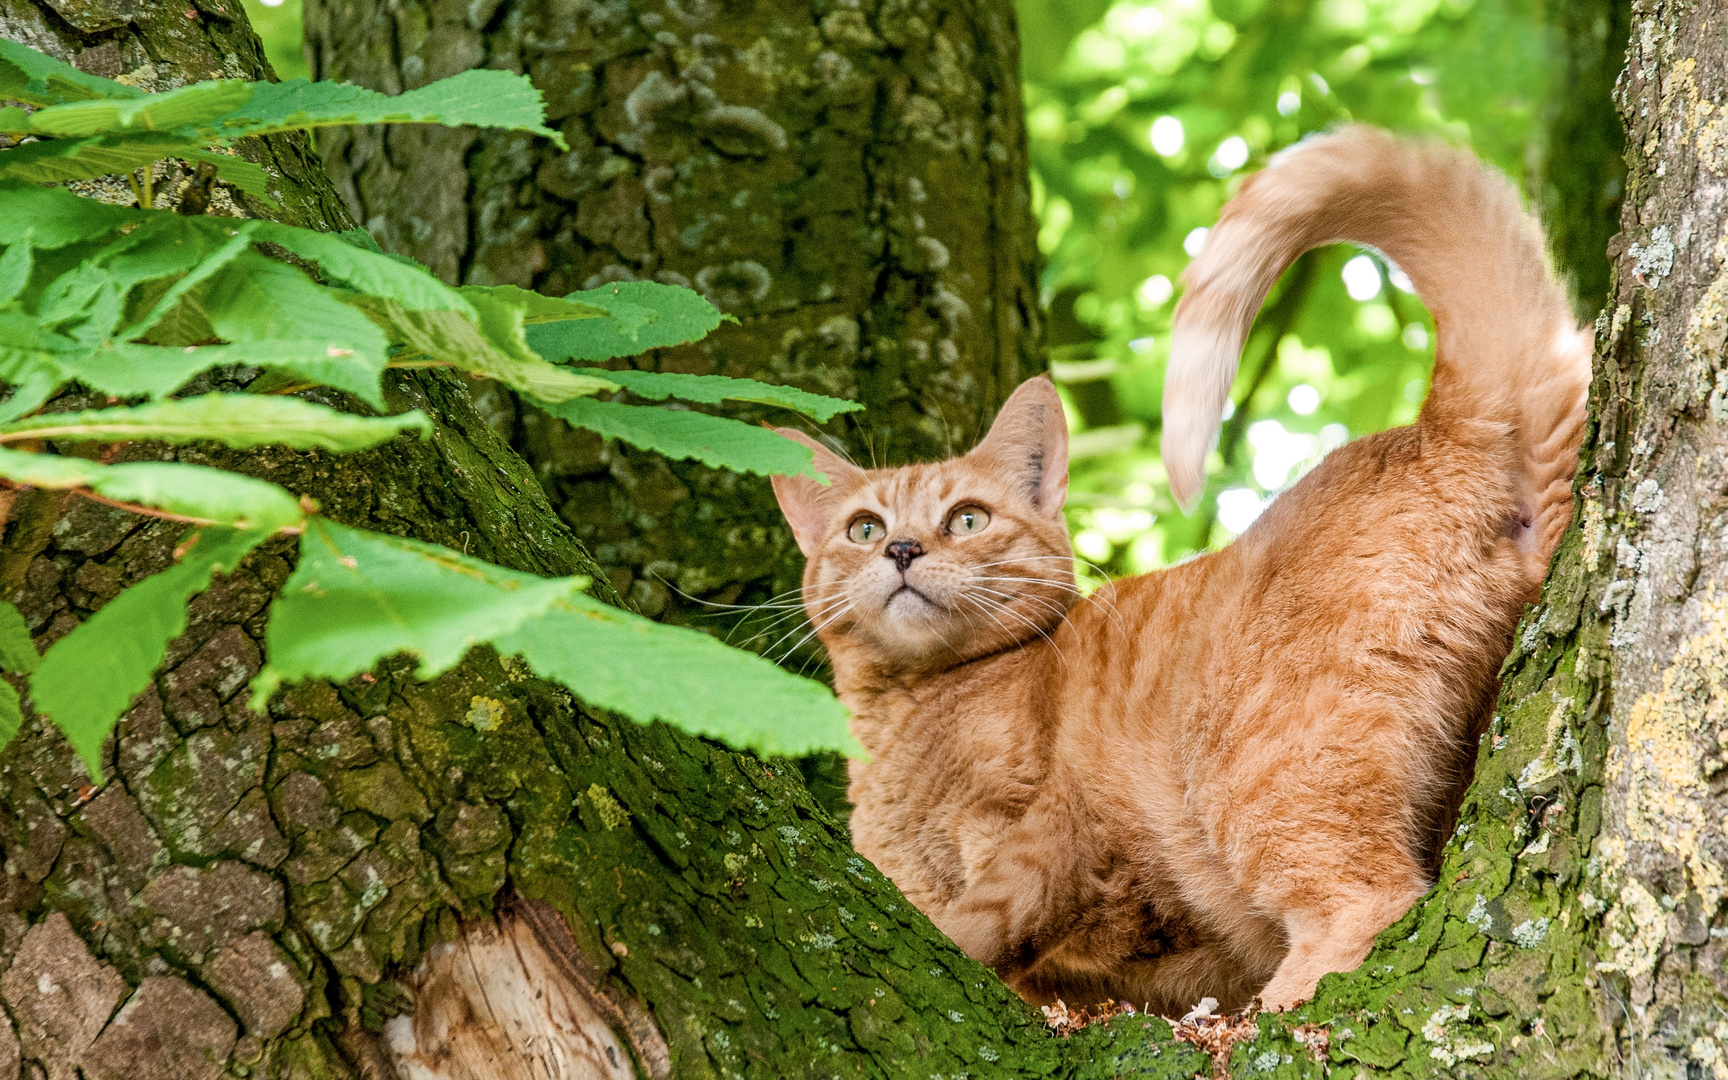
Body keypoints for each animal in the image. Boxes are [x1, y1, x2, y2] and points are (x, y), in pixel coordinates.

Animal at [777, 126, 1582, 1009]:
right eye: (863, 528)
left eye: (967, 519)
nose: (902, 549)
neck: (905, 723)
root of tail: (1436, 430)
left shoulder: (1044, 834)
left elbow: (980, 928)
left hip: (1258, 772)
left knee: (1370, 900)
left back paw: (1273, 1015)